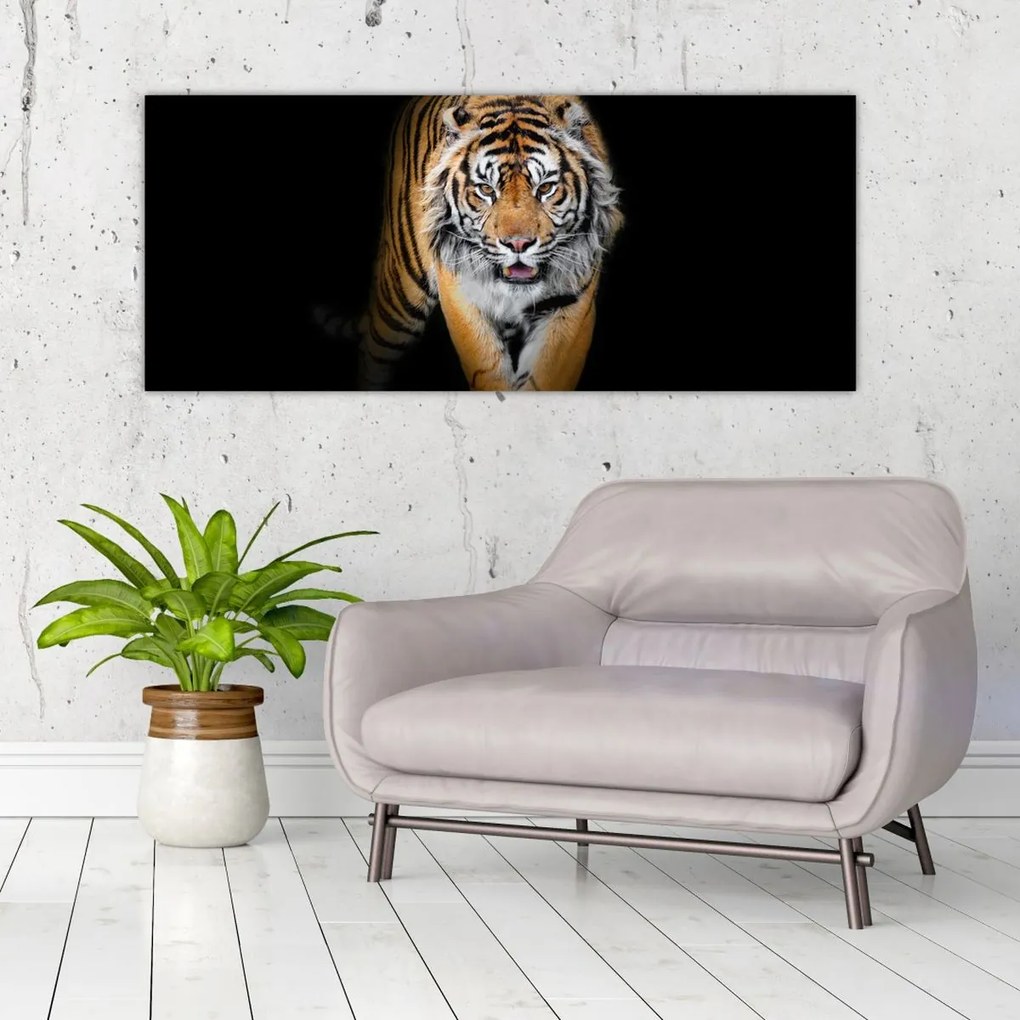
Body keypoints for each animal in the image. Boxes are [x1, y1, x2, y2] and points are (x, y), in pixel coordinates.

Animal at [354, 95, 623, 391]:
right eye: (486, 189)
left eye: (545, 188)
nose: (518, 244)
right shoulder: (462, 292)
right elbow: (488, 370)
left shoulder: (572, 302)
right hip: (400, 297)